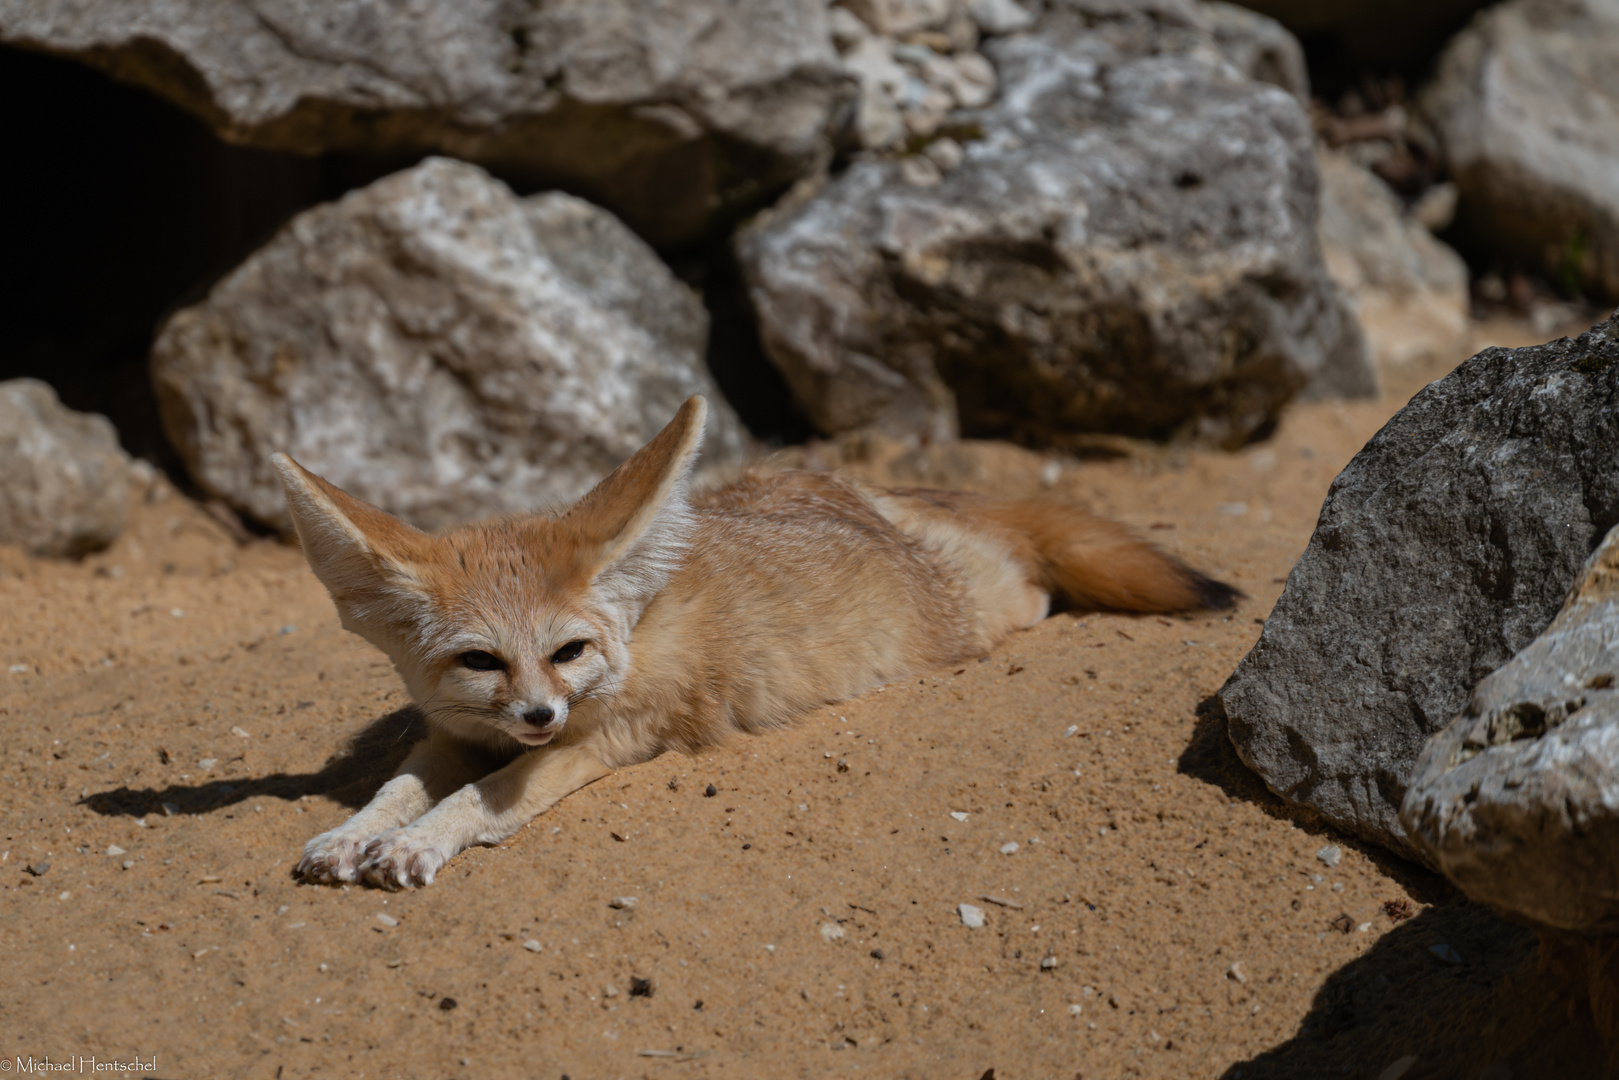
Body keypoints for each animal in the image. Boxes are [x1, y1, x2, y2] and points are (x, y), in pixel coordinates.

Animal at [275, 396, 1236, 887]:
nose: (539, 714)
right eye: (481, 661)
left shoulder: (602, 743)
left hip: (981, 612)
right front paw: (355, 834)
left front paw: (414, 843)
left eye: (568, 652)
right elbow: (398, 786)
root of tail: (873, 500)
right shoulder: (451, 732)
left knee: (1031, 583)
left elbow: (481, 800)